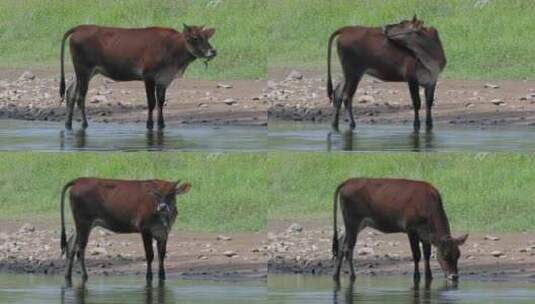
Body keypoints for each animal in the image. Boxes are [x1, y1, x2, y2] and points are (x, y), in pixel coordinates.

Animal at [59, 24, 218, 131]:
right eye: (195, 38)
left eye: (207, 37)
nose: (213, 51)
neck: (172, 48)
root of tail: (81, 27)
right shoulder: (148, 76)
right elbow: (151, 102)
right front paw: (149, 125)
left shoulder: (164, 79)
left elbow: (161, 102)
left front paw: (161, 124)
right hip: (84, 69)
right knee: (80, 97)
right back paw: (84, 124)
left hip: (84, 72)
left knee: (70, 92)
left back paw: (68, 124)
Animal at [60, 177, 193, 284]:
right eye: (156, 194)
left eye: (171, 193)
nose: (162, 207)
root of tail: (80, 180)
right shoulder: (145, 229)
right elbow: (150, 255)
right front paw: (149, 277)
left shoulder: (164, 232)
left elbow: (161, 255)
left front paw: (162, 277)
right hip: (84, 221)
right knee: (80, 249)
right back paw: (84, 276)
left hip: (81, 224)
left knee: (71, 246)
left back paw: (67, 275)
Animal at [332, 177, 466, 282]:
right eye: (445, 255)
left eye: (458, 255)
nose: (454, 276)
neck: (427, 203)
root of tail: (349, 181)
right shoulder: (411, 230)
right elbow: (416, 254)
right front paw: (416, 277)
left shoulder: (426, 234)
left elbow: (427, 254)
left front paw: (429, 276)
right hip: (352, 222)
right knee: (347, 247)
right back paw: (352, 276)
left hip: (356, 224)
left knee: (341, 242)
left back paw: (335, 275)